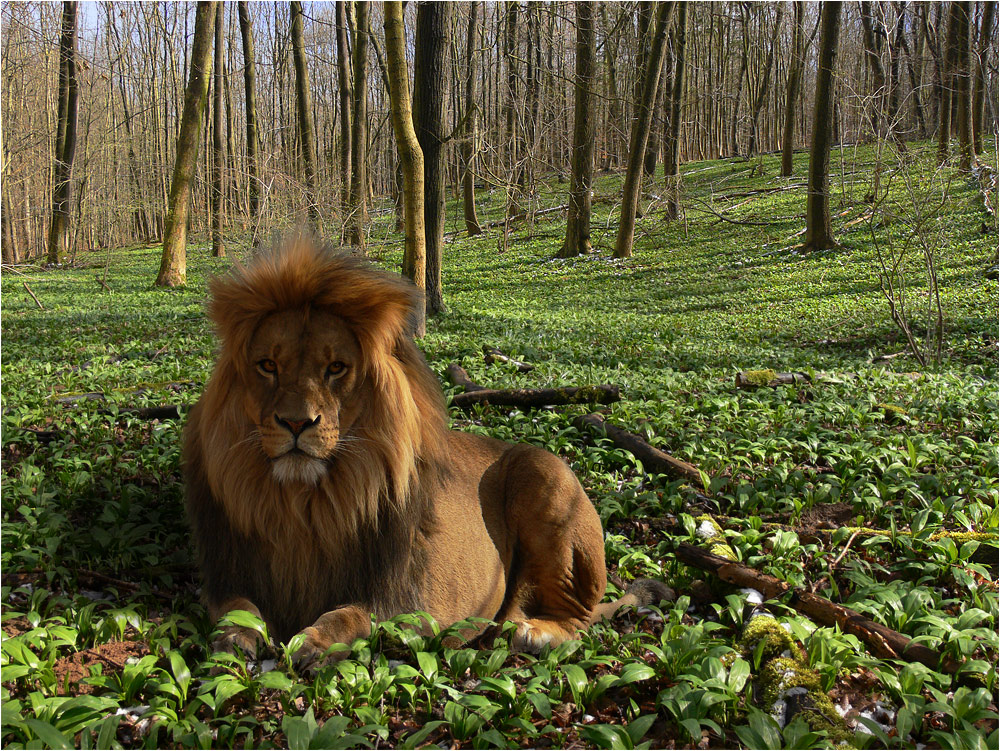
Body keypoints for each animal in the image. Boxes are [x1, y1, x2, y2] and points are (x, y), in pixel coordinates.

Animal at [188, 241, 672, 668]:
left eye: (336, 368)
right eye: (268, 366)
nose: (295, 423)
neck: (303, 505)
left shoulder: (400, 599)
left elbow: (351, 615)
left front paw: (315, 642)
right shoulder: (227, 571)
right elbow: (235, 605)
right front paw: (236, 636)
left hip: (546, 475)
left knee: (578, 618)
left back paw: (536, 632)